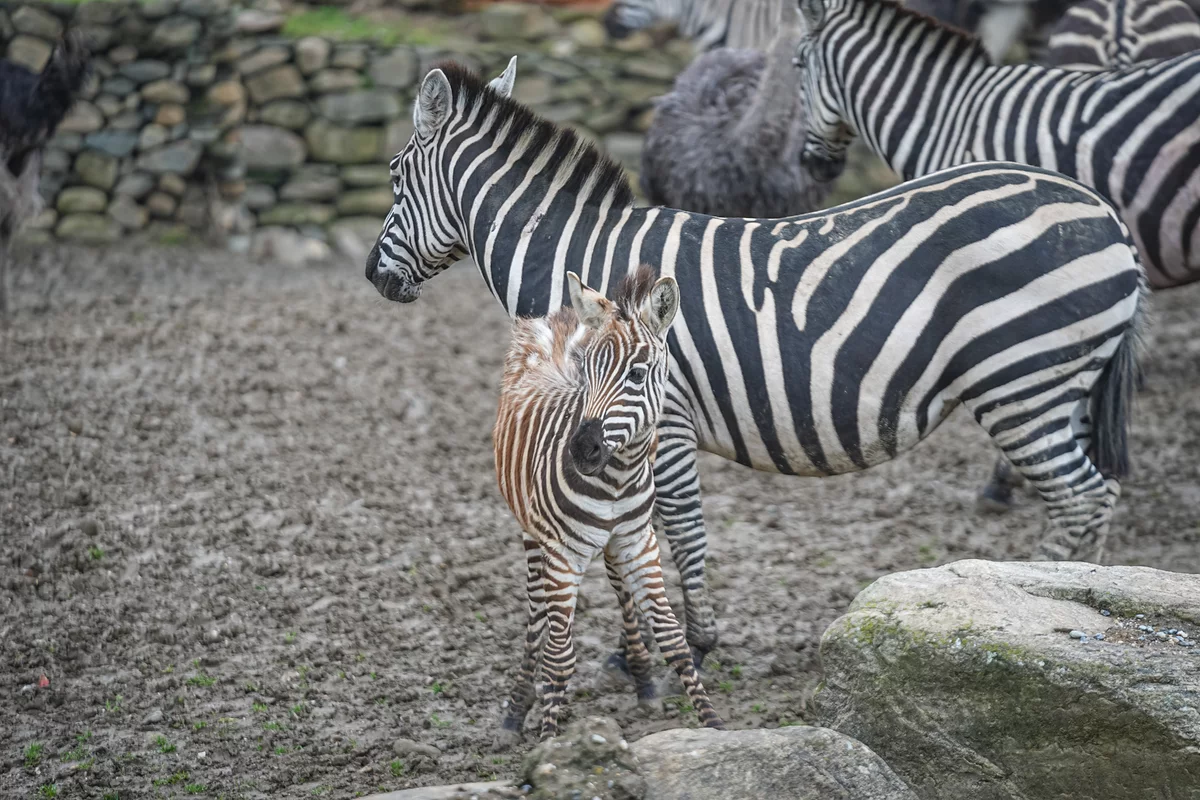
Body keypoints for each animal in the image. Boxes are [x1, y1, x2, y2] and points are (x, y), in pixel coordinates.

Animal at [365, 57, 1146, 671]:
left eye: (397, 177)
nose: (373, 275)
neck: (581, 273)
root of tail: (1100, 209)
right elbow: (626, 540)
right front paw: (636, 652)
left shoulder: (662, 420)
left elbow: (677, 531)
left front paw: (692, 641)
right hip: (1064, 387)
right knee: (1098, 492)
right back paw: (1080, 597)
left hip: (1022, 380)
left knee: (1082, 496)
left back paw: (1042, 609)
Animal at [494, 265, 724, 740]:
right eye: (586, 369)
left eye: (637, 375)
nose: (582, 451)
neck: (617, 480)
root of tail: (558, 315)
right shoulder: (562, 555)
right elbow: (559, 658)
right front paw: (549, 744)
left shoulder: (639, 543)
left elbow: (673, 638)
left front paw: (713, 725)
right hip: (532, 536)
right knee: (535, 616)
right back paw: (515, 710)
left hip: (615, 544)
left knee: (619, 590)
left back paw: (642, 680)